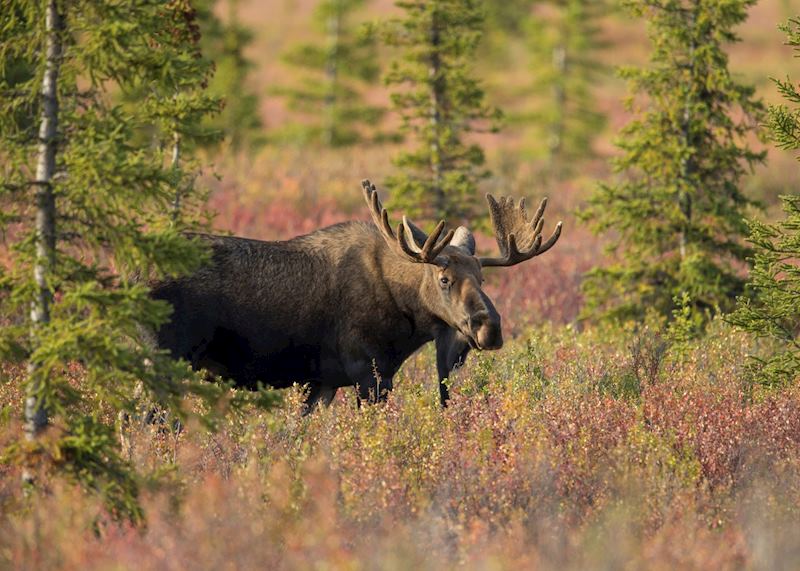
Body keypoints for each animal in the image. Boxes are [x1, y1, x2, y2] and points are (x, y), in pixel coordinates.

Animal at [148, 180, 562, 412]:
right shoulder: (369, 374)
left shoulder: (323, 383)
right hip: (168, 359)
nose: (489, 328)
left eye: (483, 277)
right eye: (444, 278)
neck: (407, 321)